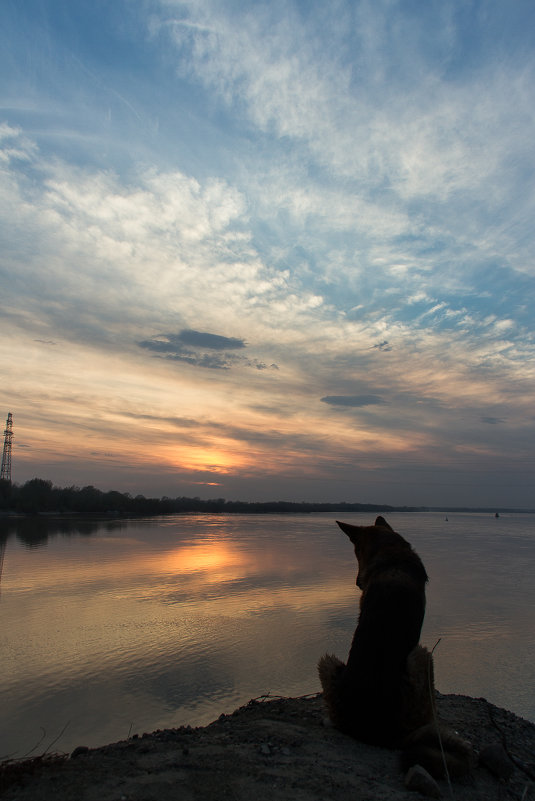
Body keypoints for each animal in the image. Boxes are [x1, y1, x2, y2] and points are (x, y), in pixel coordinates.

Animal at [318, 516, 474, 780]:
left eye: (356, 553)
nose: (357, 583)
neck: (391, 554)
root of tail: (379, 732)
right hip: (423, 656)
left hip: (327, 663)